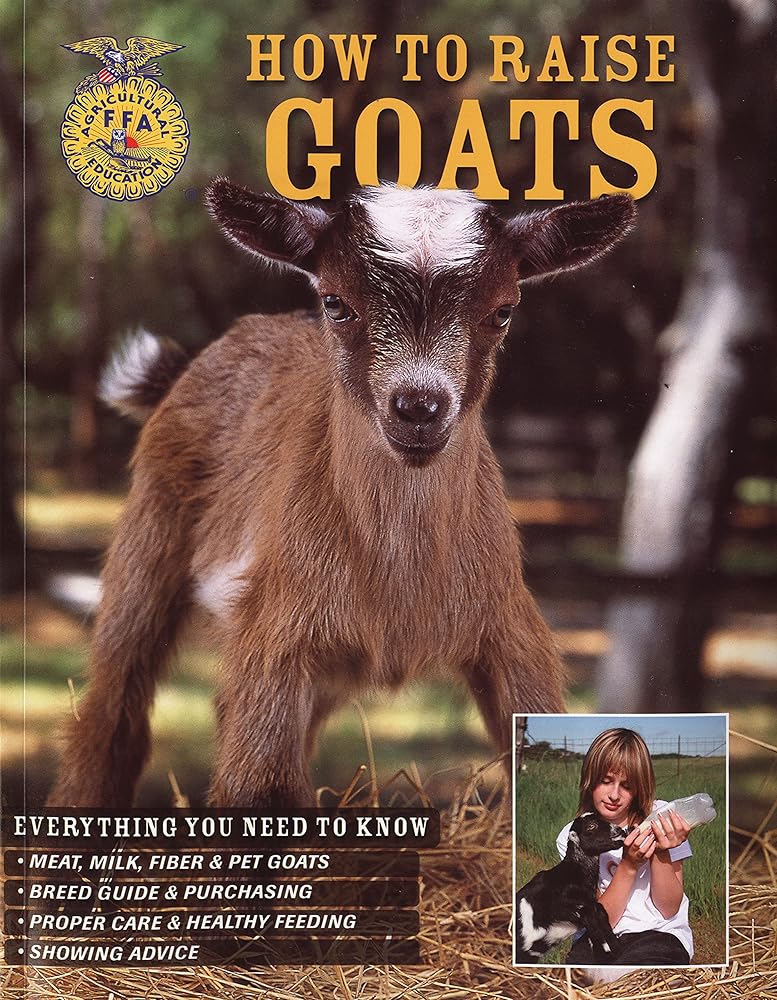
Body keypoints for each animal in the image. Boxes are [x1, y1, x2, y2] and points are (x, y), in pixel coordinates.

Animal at [49, 181, 635, 810]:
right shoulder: (279, 631)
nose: (419, 408)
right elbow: (259, 788)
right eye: (336, 303)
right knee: (115, 713)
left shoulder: (510, 629)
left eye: (503, 311)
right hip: (150, 537)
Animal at [514, 812, 626, 963]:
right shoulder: (575, 908)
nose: (619, 830)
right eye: (591, 826)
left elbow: (601, 915)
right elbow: (594, 929)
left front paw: (614, 949)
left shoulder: (590, 905)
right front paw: (606, 952)